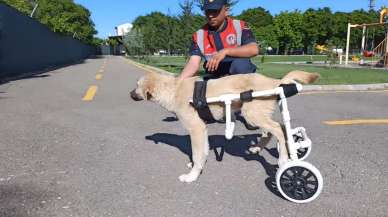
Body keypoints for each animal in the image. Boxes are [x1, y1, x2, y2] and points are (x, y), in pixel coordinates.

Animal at [130, 70, 318, 182]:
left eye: (137, 86)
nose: (130, 94)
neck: (174, 90)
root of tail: (275, 82)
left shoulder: (196, 129)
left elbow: (197, 154)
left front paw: (192, 176)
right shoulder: (202, 130)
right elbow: (203, 151)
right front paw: (198, 166)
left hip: (252, 114)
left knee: (279, 130)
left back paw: (284, 159)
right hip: (258, 115)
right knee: (277, 129)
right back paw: (259, 148)